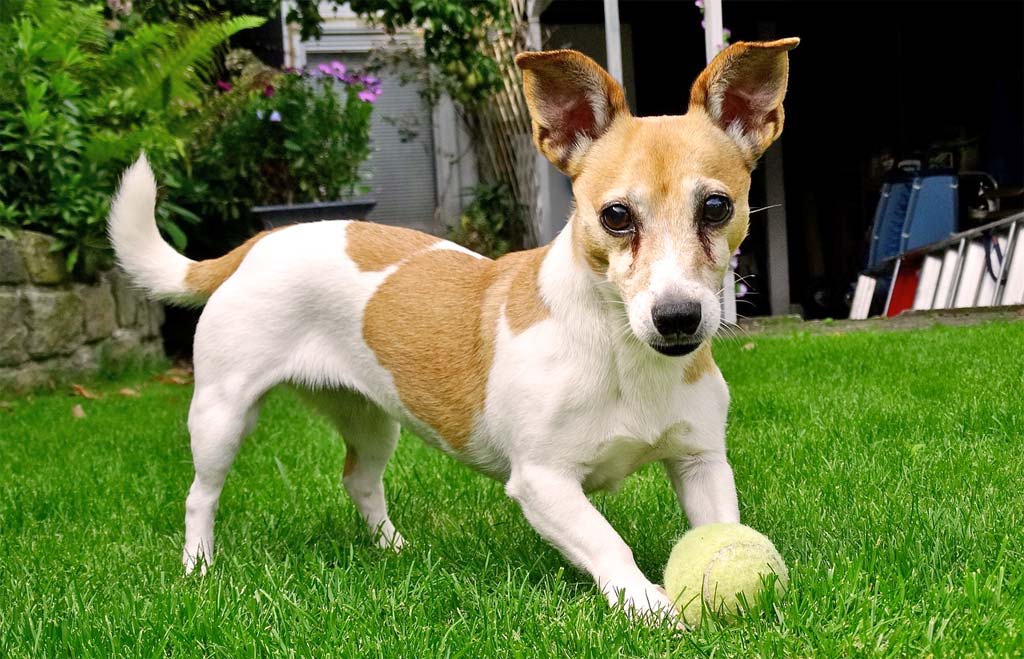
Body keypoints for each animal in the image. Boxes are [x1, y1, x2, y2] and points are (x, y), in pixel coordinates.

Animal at [112, 39, 798, 618]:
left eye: (717, 207)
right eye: (616, 216)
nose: (677, 316)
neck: (624, 355)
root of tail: (261, 241)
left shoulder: (701, 462)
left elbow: (723, 526)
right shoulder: (543, 483)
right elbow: (609, 543)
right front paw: (650, 606)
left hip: (371, 418)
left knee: (360, 480)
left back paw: (393, 548)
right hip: (222, 414)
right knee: (201, 495)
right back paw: (199, 568)